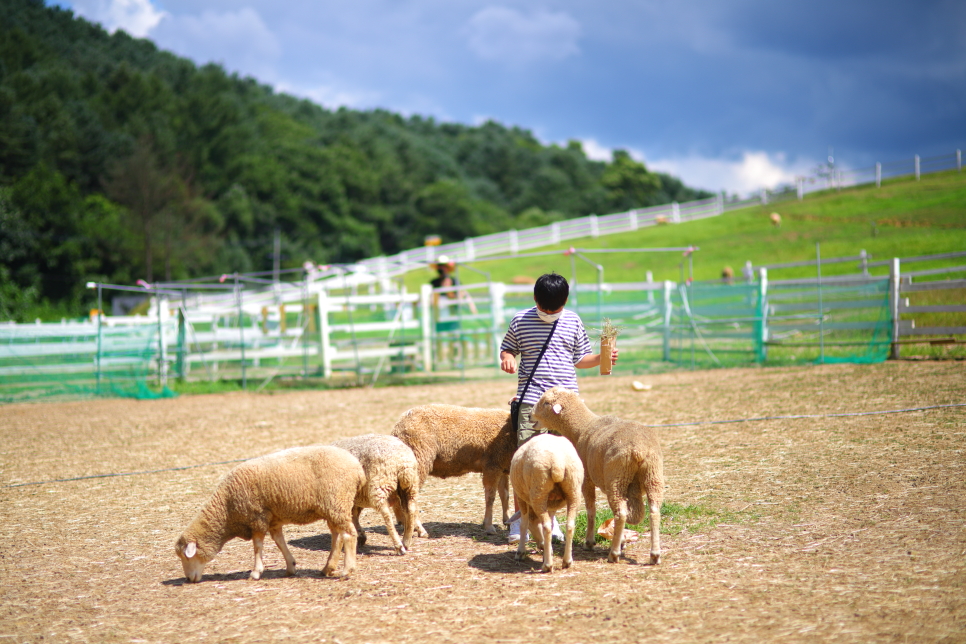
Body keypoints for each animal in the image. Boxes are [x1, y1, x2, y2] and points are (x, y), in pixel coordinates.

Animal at [172, 446, 364, 580]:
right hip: (334, 508)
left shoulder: (257, 517)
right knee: (337, 537)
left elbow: (257, 546)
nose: (189, 579)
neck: (227, 511)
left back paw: (347, 570)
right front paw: (291, 566)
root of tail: (358, 468)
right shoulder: (273, 520)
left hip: (337, 502)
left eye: (186, 557)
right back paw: (327, 568)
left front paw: (256, 572)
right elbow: (279, 542)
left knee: (349, 535)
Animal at [390, 406, 520, 536]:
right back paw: (419, 529)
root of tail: (398, 427)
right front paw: (489, 526)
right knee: (409, 499)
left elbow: (505, 495)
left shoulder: (502, 467)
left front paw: (508, 521)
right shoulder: (492, 465)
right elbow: (490, 497)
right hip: (418, 460)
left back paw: (403, 522)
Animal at [510, 432, 588, 572]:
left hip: (539, 492)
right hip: (574, 490)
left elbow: (524, 524)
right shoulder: (552, 506)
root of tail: (558, 462)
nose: (541, 545)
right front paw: (549, 551)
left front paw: (520, 552)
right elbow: (552, 525)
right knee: (569, 525)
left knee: (546, 527)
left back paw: (547, 565)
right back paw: (567, 561)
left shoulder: (521, 498)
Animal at [528, 388, 664, 564]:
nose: (530, 415)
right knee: (654, 510)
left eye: (545, 402)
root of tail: (639, 449)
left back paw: (614, 554)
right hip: (652, 475)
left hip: (617, 477)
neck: (582, 428)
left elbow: (591, 509)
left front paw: (590, 541)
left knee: (621, 513)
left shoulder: (586, 479)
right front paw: (620, 540)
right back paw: (655, 554)